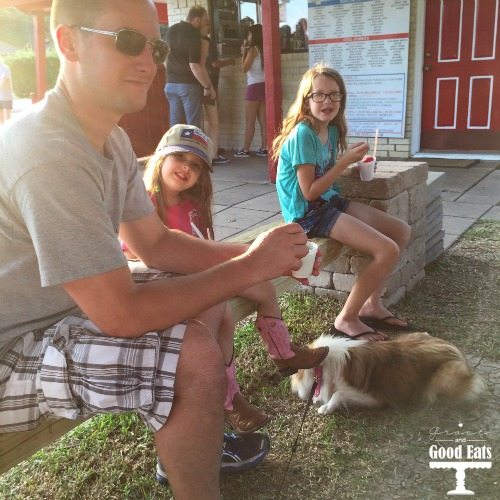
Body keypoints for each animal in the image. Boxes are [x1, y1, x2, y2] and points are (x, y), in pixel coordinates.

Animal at [292, 332, 486, 414]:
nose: (295, 392)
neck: (325, 364)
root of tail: (456, 351)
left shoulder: (373, 397)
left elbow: (338, 394)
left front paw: (326, 408)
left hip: (445, 375)